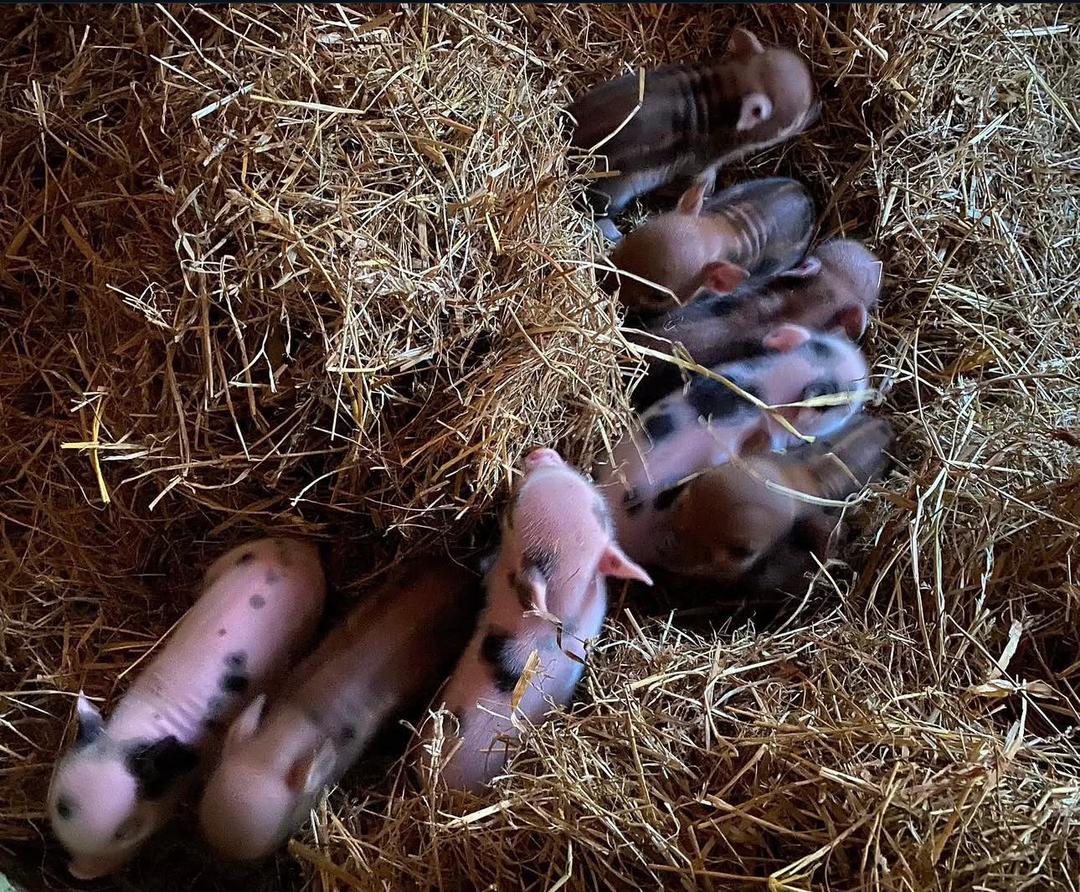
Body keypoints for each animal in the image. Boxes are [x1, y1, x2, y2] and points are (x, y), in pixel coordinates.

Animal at [46, 538, 326, 880]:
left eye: (126, 831)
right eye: (60, 808)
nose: (76, 871)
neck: (133, 733)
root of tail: (301, 548)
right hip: (227, 561)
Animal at [569, 28, 817, 240]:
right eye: (797, 117)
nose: (819, 108)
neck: (727, 91)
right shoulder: (701, 166)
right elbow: (703, 184)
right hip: (612, 191)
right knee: (597, 213)